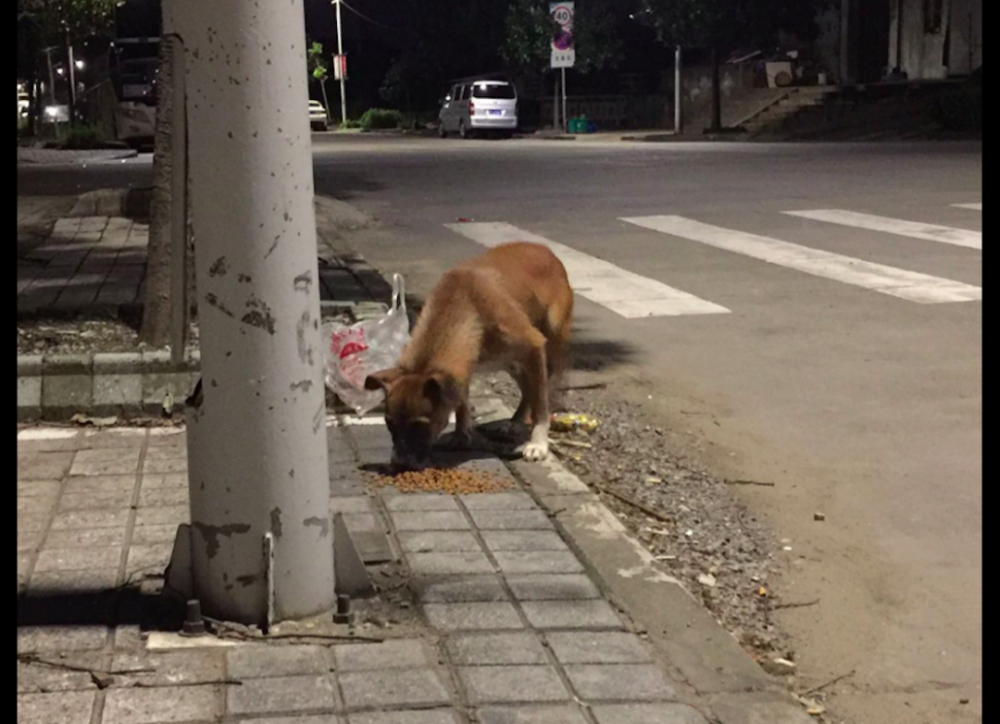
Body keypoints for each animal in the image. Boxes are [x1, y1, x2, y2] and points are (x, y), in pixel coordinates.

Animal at [366, 243, 572, 470]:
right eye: (389, 423)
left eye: (420, 425)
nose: (399, 465)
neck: (464, 305)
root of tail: (546, 250)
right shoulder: (462, 366)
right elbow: (461, 402)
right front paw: (461, 435)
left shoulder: (535, 344)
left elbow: (540, 406)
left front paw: (538, 444)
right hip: (512, 363)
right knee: (528, 389)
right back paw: (514, 422)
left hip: (547, 343)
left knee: (541, 389)